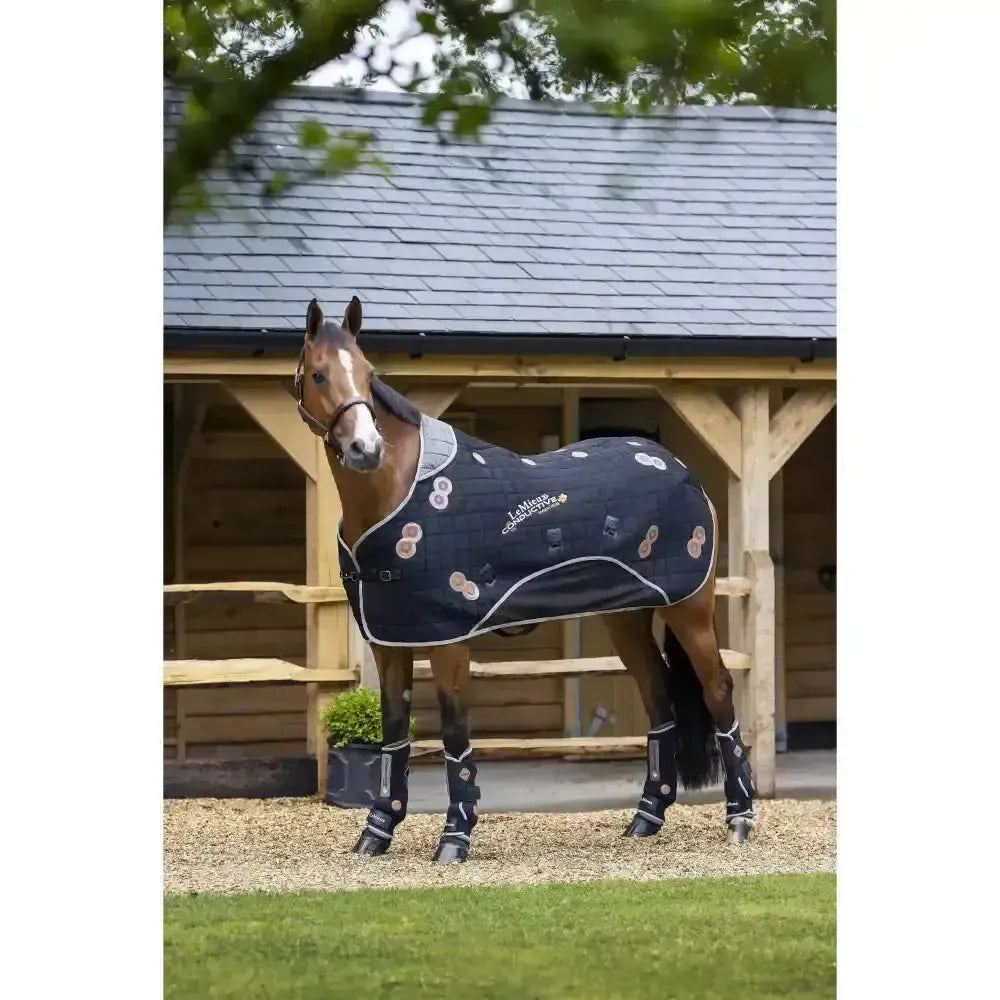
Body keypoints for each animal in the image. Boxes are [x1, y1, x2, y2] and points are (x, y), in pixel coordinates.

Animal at [294, 295, 756, 864]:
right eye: (319, 373)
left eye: (367, 372)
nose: (366, 448)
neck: (395, 489)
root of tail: (685, 473)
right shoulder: (390, 640)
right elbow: (395, 733)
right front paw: (377, 831)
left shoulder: (448, 640)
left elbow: (454, 733)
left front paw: (455, 837)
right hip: (627, 617)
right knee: (659, 698)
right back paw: (646, 819)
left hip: (688, 610)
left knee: (718, 691)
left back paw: (740, 819)